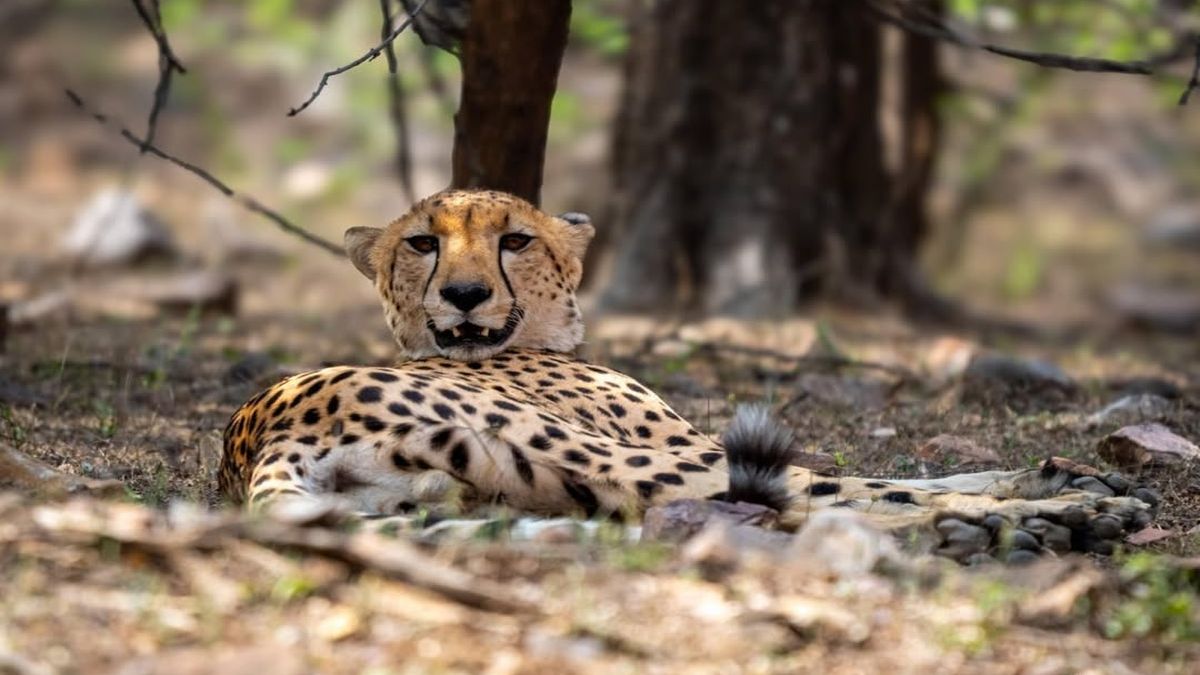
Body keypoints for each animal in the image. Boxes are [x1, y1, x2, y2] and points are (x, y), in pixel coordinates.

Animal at [220, 188, 1159, 563]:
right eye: (421, 242)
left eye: (514, 239)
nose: (463, 293)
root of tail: (260, 430)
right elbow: (864, 476)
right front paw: (1066, 489)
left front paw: (1060, 470)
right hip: (624, 461)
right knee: (815, 498)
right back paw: (1048, 524)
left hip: (509, 501)